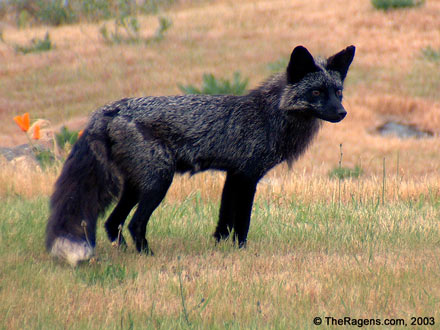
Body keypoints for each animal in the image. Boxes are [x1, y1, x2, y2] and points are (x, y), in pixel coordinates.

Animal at [45, 44, 354, 266]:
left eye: (337, 92)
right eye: (317, 92)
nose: (342, 113)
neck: (269, 116)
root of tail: (108, 110)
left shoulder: (233, 175)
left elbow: (224, 221)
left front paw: (220, 249)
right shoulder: (247, 176)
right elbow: (242, 223)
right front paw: (242, 252)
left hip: (135, 185)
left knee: (112, 223)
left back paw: (124, 254)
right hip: (158, 182)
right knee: (134, 223)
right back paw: (147, 257)